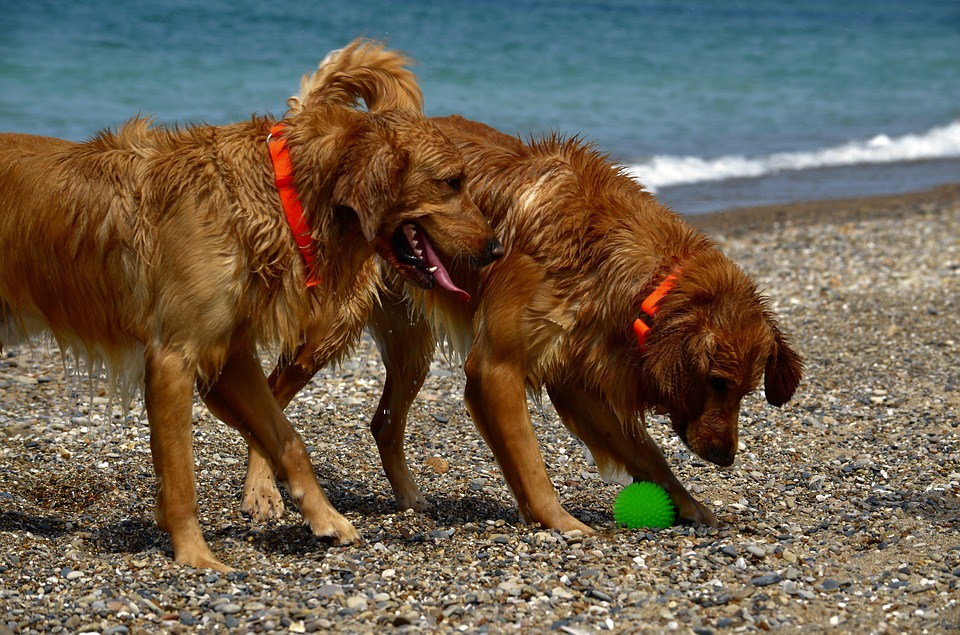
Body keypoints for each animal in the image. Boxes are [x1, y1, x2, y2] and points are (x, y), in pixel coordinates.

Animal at [1, 38, 502, 572]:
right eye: (452, 182)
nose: (497, 248)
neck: (278, 194)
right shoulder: (174, 357)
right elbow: (182, 475)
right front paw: (196, 555)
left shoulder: (231, 354)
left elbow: (289, 439)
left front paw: (327, 519)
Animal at [240, 112, 804, 536]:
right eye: (717, 382)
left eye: (747, 390)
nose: (725, 457)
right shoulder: (497, 367)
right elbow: (532, 463)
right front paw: (563, 523)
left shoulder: (579, 379)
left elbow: (649, 455)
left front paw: (691, 505)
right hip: (329, 329)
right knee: (270, 392)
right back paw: (261, 491)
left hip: (411, 343)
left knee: (382, 421)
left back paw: (410, 497)